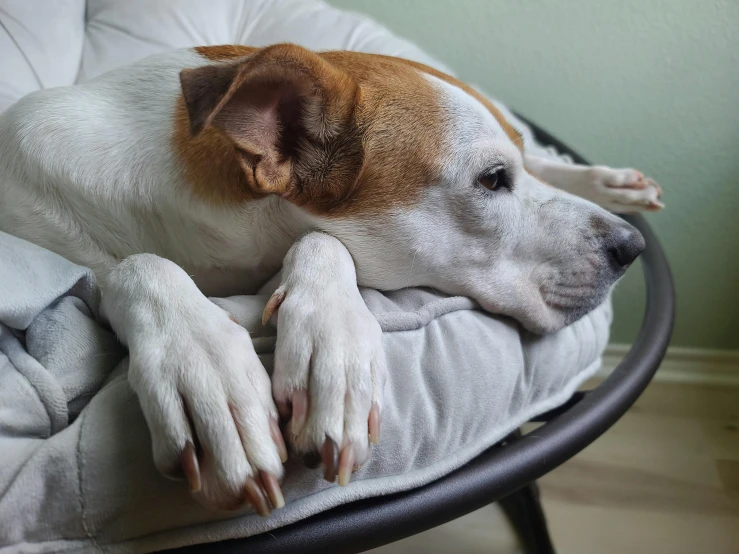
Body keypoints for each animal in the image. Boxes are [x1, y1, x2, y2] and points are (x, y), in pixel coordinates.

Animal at [0, 43, 660, 512]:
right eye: (492, 180)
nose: (629, 248)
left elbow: (324, 241)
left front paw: (332, 350)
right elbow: (137, 267)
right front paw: (206, 366)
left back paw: (608, 181)